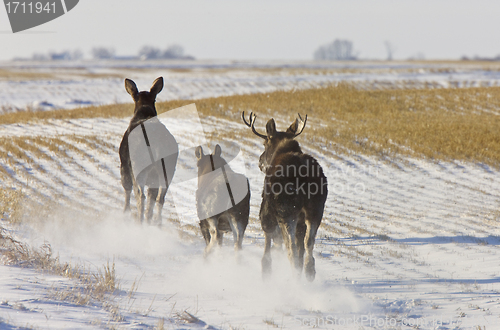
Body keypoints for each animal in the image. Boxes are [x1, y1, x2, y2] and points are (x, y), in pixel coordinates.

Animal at [118, 76, 178, 223]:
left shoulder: (124, 165)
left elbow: (127, 190)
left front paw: (125, 213)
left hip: (139, 167)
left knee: (140, 195)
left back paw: (139, 221)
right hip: (167, 170)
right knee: (159, 198)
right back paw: (156, 223)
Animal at [242, 111, 328, 282]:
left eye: (265, 143)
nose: (260, 162)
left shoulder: (266, 211)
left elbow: (269, 239)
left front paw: (266, 271)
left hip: (287, 210)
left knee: (291, 247)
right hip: (315, 209)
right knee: (308, 242)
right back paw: (309, 272)